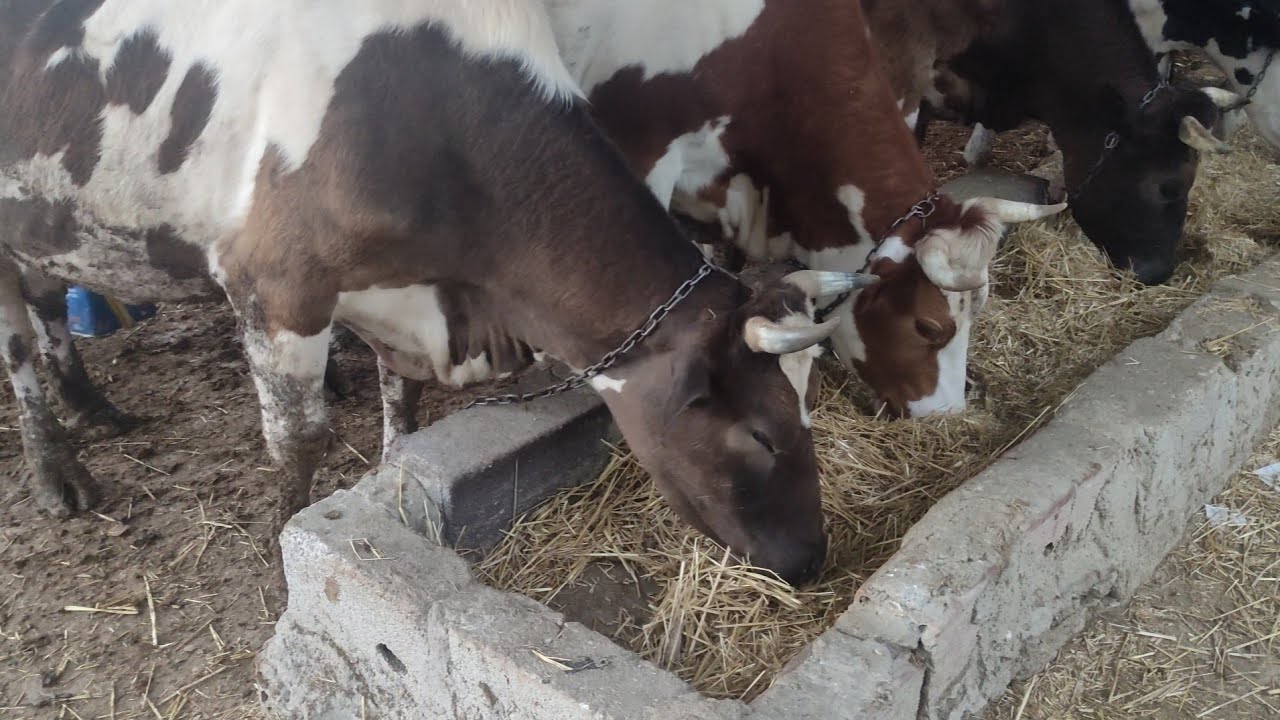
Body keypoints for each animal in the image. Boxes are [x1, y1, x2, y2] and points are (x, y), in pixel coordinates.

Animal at [0, 0, 877, 585]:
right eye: (762, 435)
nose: (812, 558)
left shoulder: (399, 296)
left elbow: (404, 400)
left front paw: (392, 474)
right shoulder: (276, 285)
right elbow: (300, 440)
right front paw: (287, 539)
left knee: (44, 303)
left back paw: (91, 407)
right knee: (16, 348)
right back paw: (57, 471)